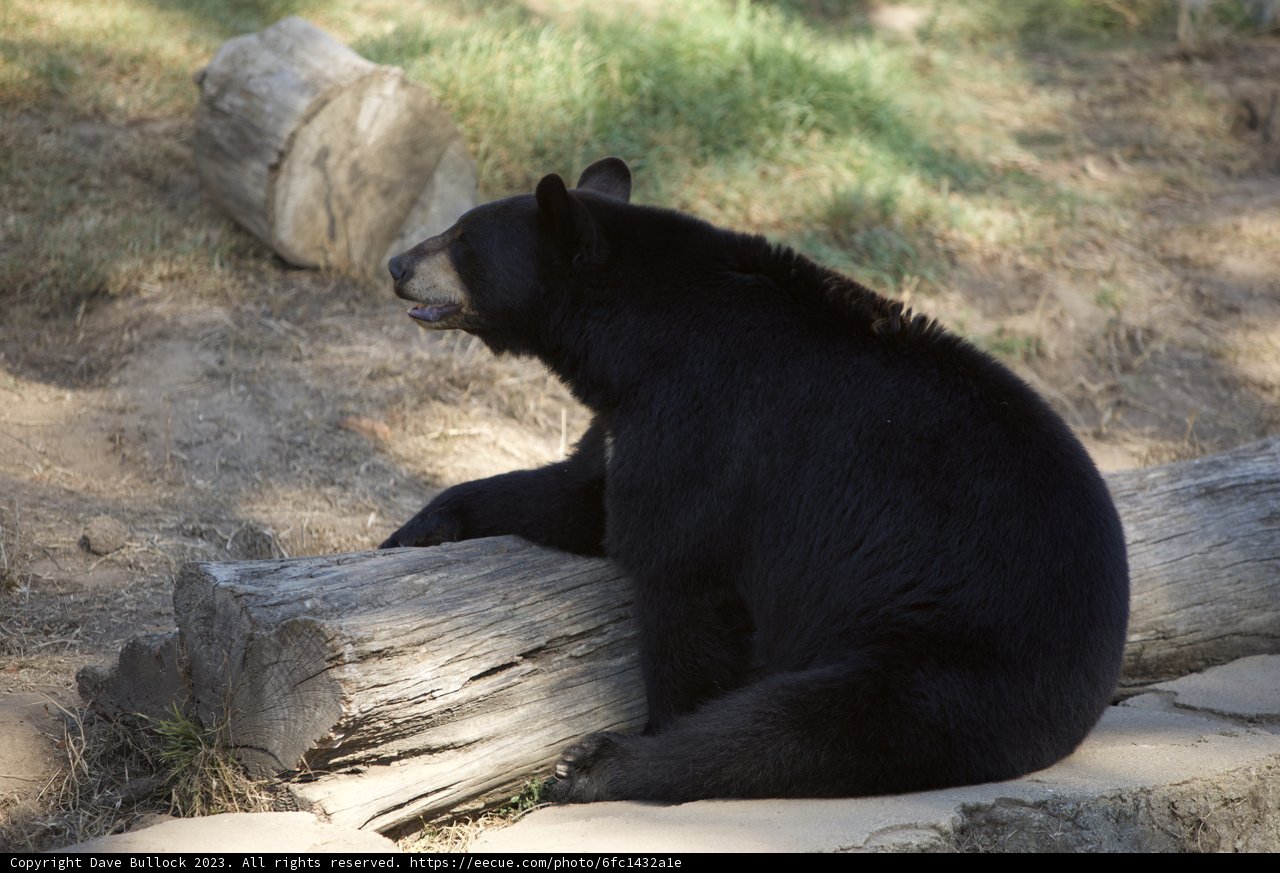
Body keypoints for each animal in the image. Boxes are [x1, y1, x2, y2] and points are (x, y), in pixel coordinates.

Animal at [380, 157, 1130, 803]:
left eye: (462, 239)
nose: (396, 264)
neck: (640, 333)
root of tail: (1095, 681)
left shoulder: (708, 419)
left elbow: (679, 577)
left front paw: (656, 719)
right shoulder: (636, 419)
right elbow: (581, 497)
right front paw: (411, 533)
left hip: (957, 656)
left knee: (794, 727)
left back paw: (598, 765)